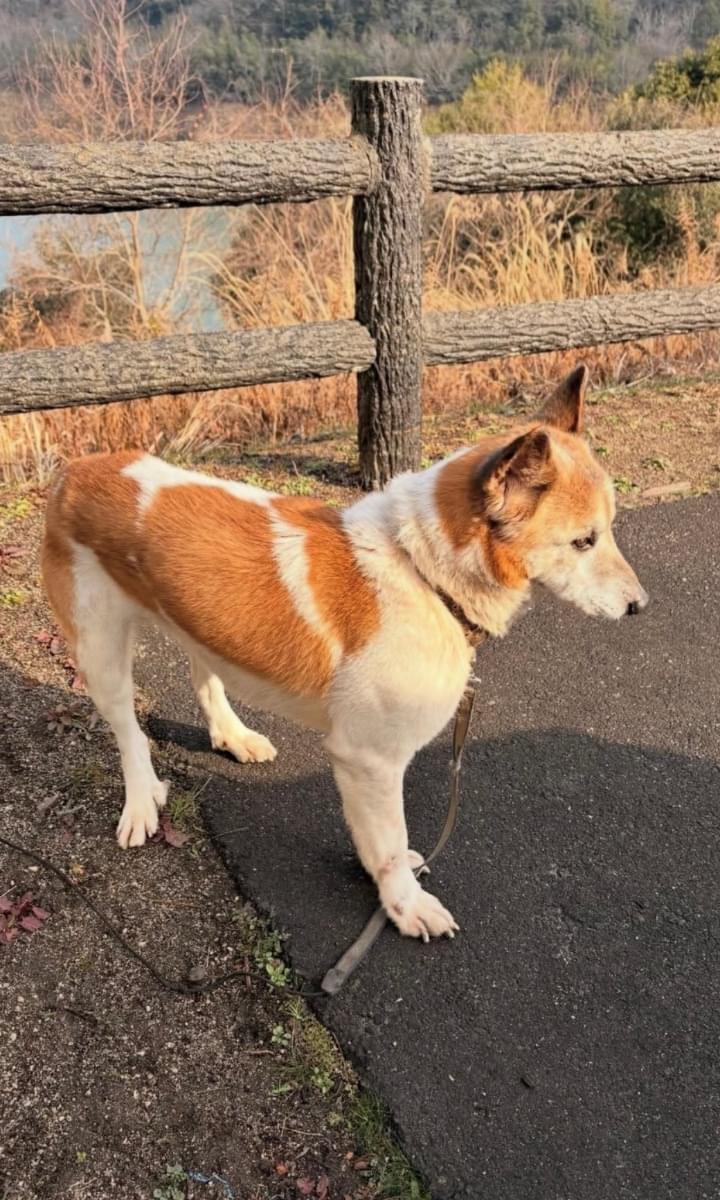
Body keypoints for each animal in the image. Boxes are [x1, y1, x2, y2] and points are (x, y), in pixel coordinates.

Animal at [42, 364, 647, 942]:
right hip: (100, 654)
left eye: (609, 530)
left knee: (203, 675)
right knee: (129, 731)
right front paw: (404, 903)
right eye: (584, 541)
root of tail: (78, 468)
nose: (641, 605)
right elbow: (391, 840)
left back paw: (233, 736)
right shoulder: (370, 758)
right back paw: (142, 799)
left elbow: (381, 839)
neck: (421, 569)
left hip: (194, 619)